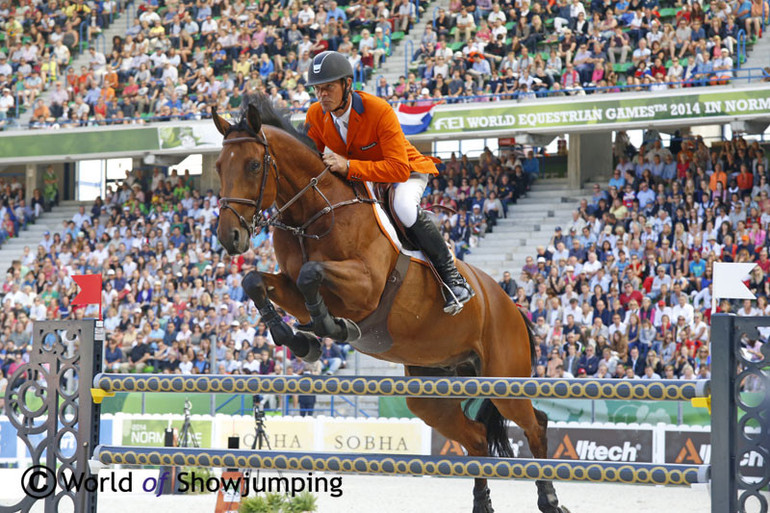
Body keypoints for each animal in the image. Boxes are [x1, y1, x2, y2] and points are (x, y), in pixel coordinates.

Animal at [213, 97, 568, 512]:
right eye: (218, 167)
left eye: (254, 166)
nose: (229, 237)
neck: (315, 212)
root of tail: (510, 305)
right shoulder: (293, 291)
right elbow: (255, 281)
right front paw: (300, 340)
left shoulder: (364, 287)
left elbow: (312, 275)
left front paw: (331, 328)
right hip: (430, 389)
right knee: (477, 437)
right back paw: (483, 504)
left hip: (504, 379)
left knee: (535, 424)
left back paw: (551, 500)